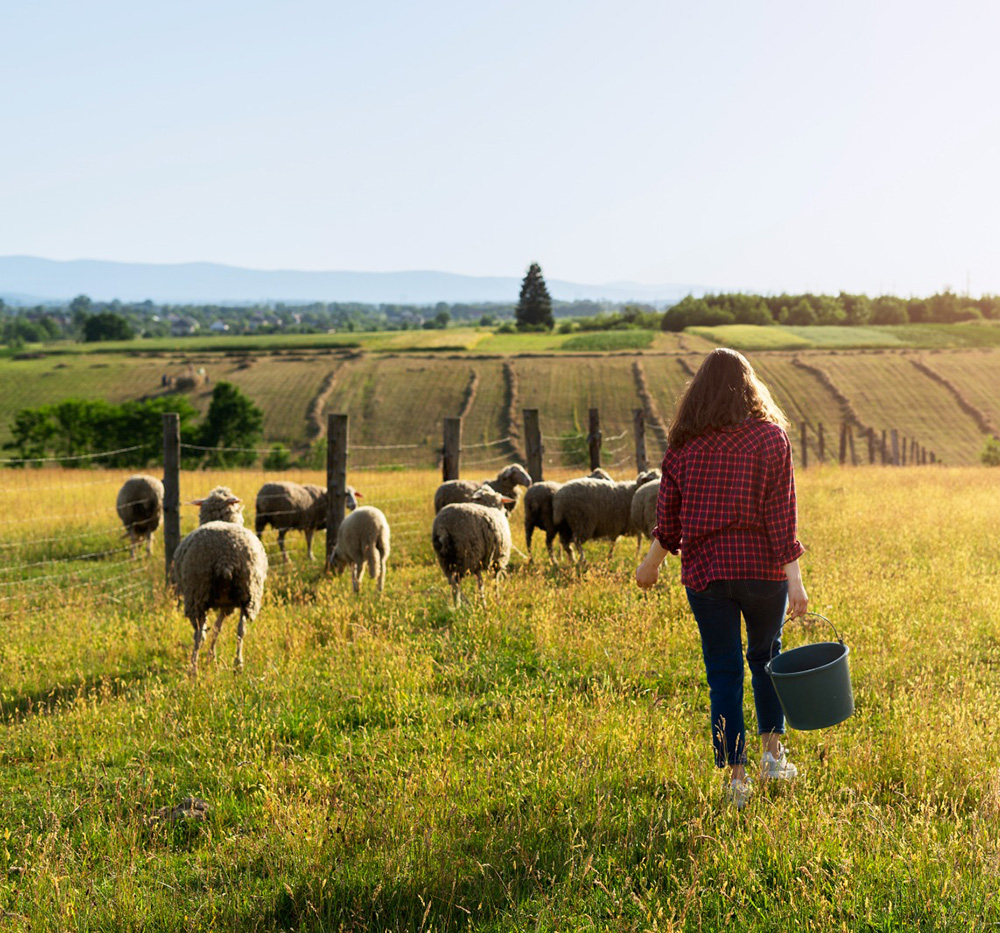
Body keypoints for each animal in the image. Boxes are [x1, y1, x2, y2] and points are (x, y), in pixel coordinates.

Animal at [171, 488, 270, 676]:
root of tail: (226, 557)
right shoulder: (226, 604)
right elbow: (218, 628)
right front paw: (212, 657)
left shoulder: (221, 603)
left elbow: (212, 629)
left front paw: (210, 657)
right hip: (249, 593)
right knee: (241, 629)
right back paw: (238, 664)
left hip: (196, 593)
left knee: (198, 633)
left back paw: (193, 668)